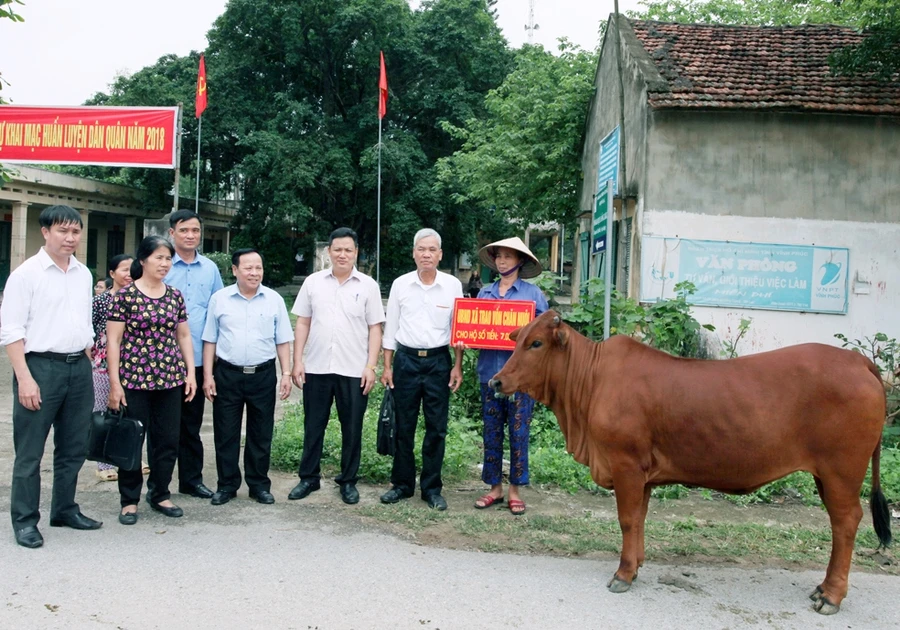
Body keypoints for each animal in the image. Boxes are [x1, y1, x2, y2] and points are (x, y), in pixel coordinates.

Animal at [492, 312, 892, 616]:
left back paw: (831, 595)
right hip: (827, 475)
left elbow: (626, 519)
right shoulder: (644, 474)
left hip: (842, 471)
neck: (588, 385)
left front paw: (623, 574)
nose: (496, 381)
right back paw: (823, 588)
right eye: (517, 339)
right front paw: (636, 566)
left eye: (536, 343)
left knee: (846, 522)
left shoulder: (625, 465)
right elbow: (638, 519)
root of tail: (857, 360)